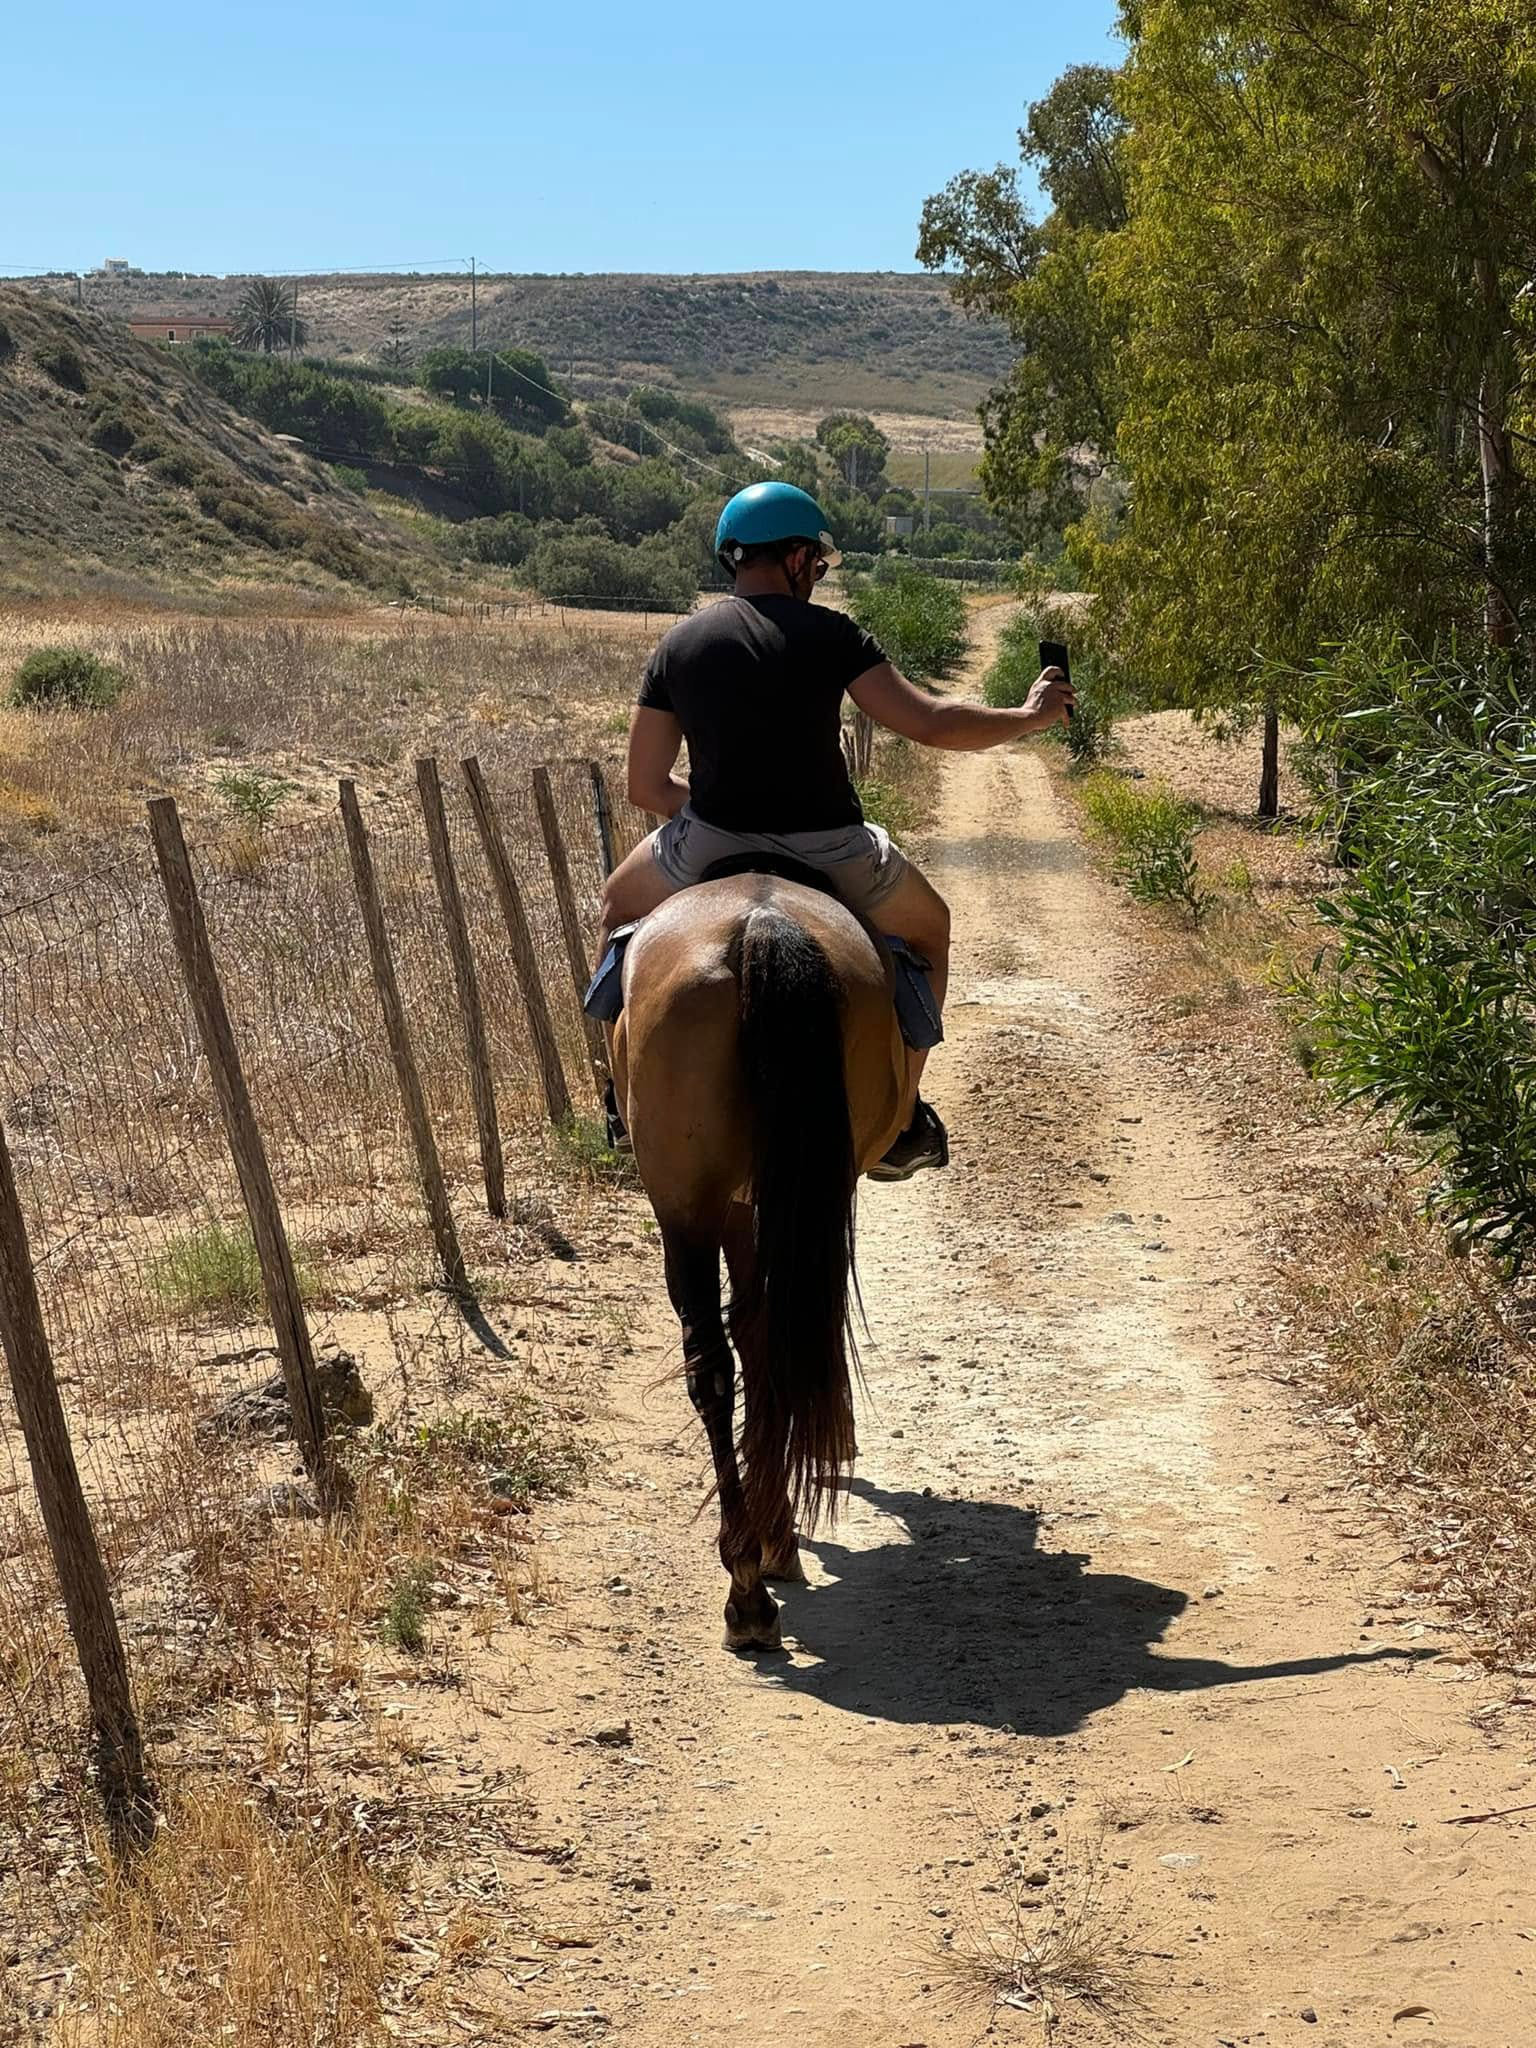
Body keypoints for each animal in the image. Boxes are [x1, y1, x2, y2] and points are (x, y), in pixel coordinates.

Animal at [610, 865, 911, 1650]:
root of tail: (760, 924)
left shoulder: (741, 1206)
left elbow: (749, 1340)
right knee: (763, 1347)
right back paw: (761, 1561)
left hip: (685, 1205)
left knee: (714, 1366)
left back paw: (747, 1586)